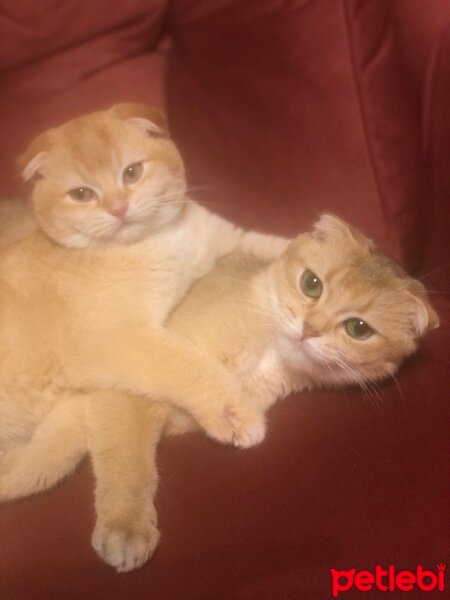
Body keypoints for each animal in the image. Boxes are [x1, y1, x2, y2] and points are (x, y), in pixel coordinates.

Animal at [0, 216, 436, 572]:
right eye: (311, 283)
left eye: (359, 329)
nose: (309, 330)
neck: (267, 352)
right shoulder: (123, 387)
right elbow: (124, 462)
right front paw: (127, 528)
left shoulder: (87, 409)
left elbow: (48, 460)